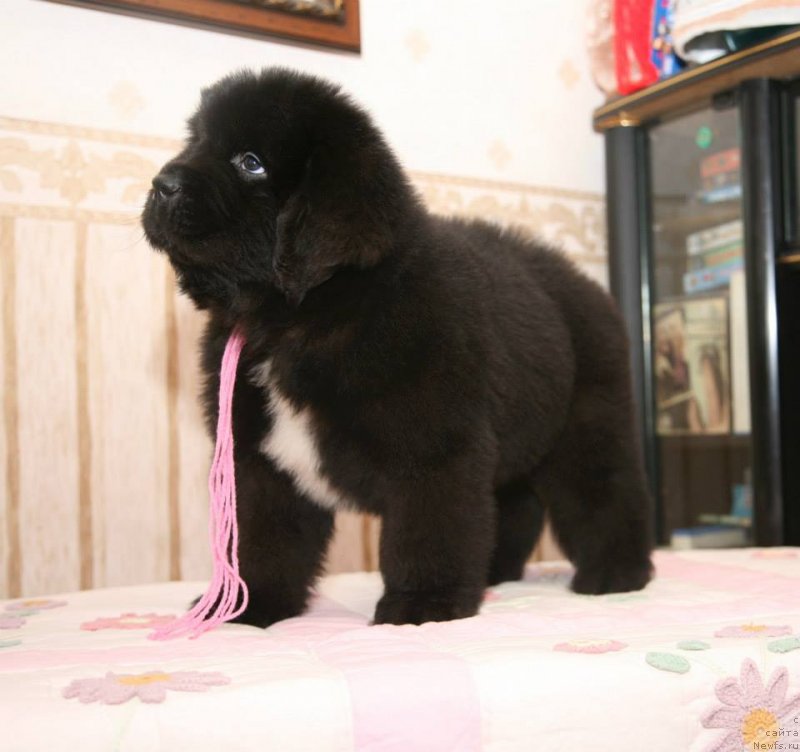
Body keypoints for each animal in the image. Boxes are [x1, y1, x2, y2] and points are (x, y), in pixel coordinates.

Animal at [144, 69, 652, 628]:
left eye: (250, 162)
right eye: (195, 142)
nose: (162, 184)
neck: (299, 317)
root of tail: (589, 285)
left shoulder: (431, 447)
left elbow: (425, 533)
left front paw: (422, 605)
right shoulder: (259, 464)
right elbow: (262, 540)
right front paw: (248, 606)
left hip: (587, 425)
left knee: (606, 495)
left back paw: (617, 574)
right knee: (513, 506)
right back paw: (496, 573)